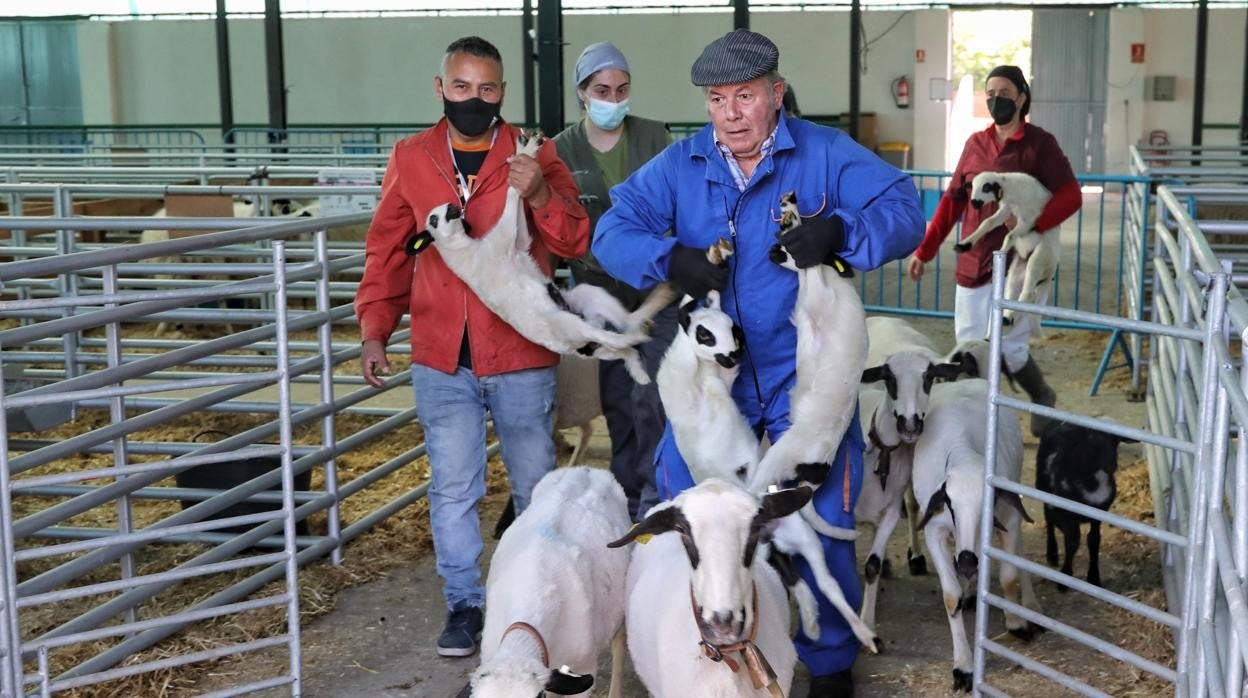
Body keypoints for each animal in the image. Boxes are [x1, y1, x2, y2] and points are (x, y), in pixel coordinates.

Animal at [913, 379, 1038, 689]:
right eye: (949, 502)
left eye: (989, 500)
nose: (968, 561)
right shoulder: (934, 531)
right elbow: (950, 596)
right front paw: (964, 666)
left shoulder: (1009, 517)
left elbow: (1008, 577)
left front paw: (1016, 622)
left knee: (1018, 551)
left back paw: (1029, 604)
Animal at [953, 171, 1063, 332]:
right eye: (972, 186)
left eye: (986, 187)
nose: (974, 202)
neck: (1011, 189)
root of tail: (1050, 274)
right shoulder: (1006, 211)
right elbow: (987, 223)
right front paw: (964, 245)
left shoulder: (1028, 220)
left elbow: (1010, 235)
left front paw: (1002, 250)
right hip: (1017, 271)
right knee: (1013, 292)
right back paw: (1007, 317)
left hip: (1039, 258)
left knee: (1029, 293)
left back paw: (1009, 317)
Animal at [1033, 419, 1143, 589]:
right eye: (1091, 437)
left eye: (1116, 439)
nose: (1111, 465)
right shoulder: (1066, 513)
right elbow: (1073, 541)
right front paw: (1065, 577)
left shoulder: (1099, 513)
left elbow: (1093, 540)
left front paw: (1093, 577)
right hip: (1044, 490)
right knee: (1049, 519)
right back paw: (1052, 554)